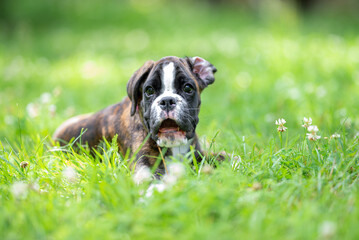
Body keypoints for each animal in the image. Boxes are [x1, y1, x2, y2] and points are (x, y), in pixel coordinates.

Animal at [54, 55, 219, 178]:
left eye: (188, 88)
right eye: (149, 91)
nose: (167, 101)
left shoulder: (199, 155)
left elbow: (221, 157)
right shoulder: (143, 163)